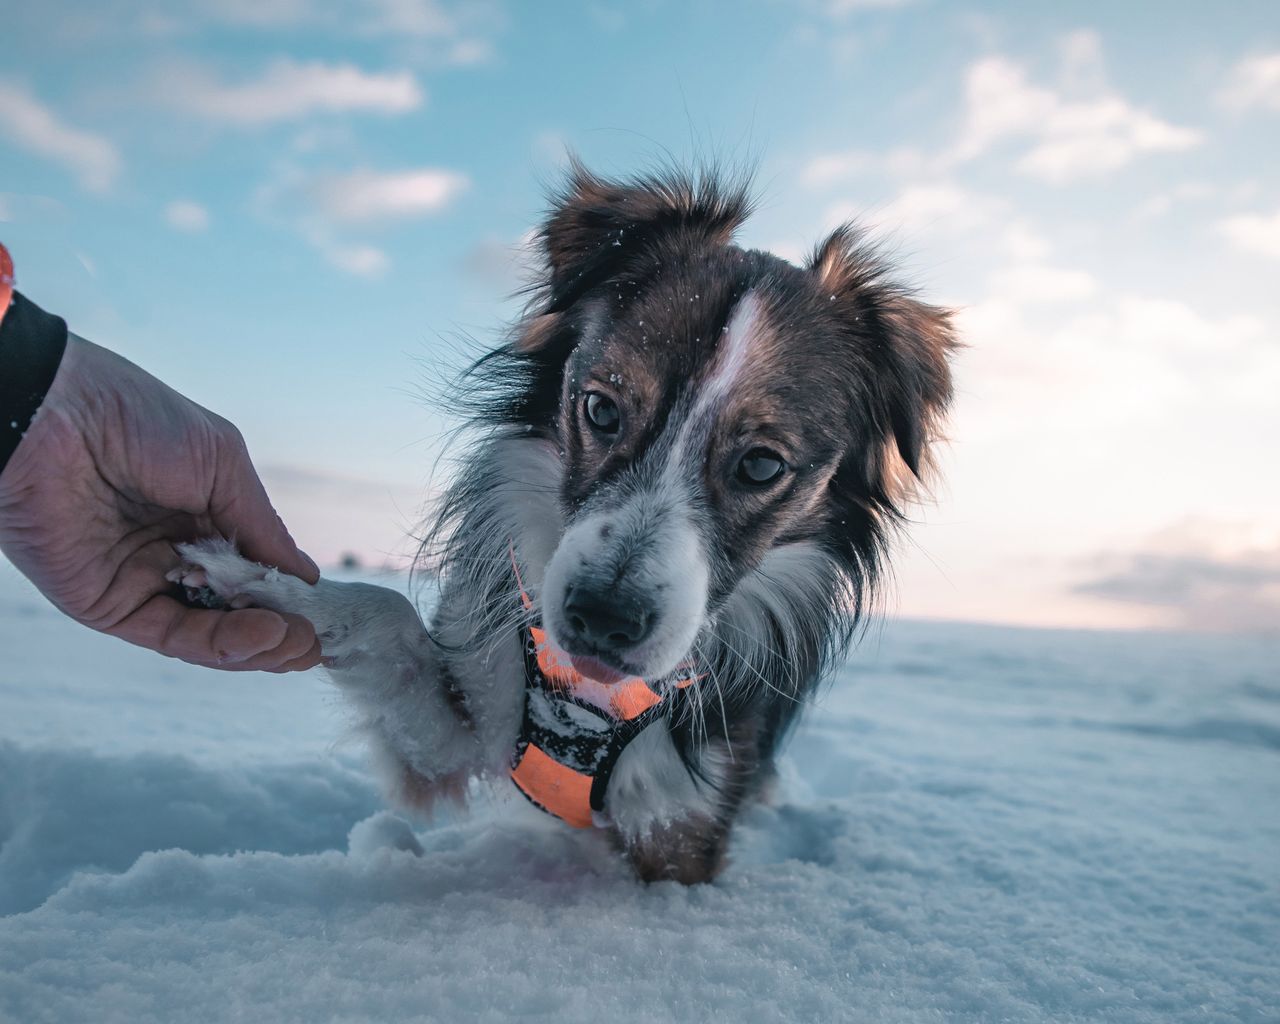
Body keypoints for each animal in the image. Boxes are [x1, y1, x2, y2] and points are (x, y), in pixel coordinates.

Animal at [170, 163, 957, 885]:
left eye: (762, 466)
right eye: (601, 410)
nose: (602, 618)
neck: (592, 704)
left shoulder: (684, 831)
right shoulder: (464, 731)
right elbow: (387, 617)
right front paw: (258, 585)